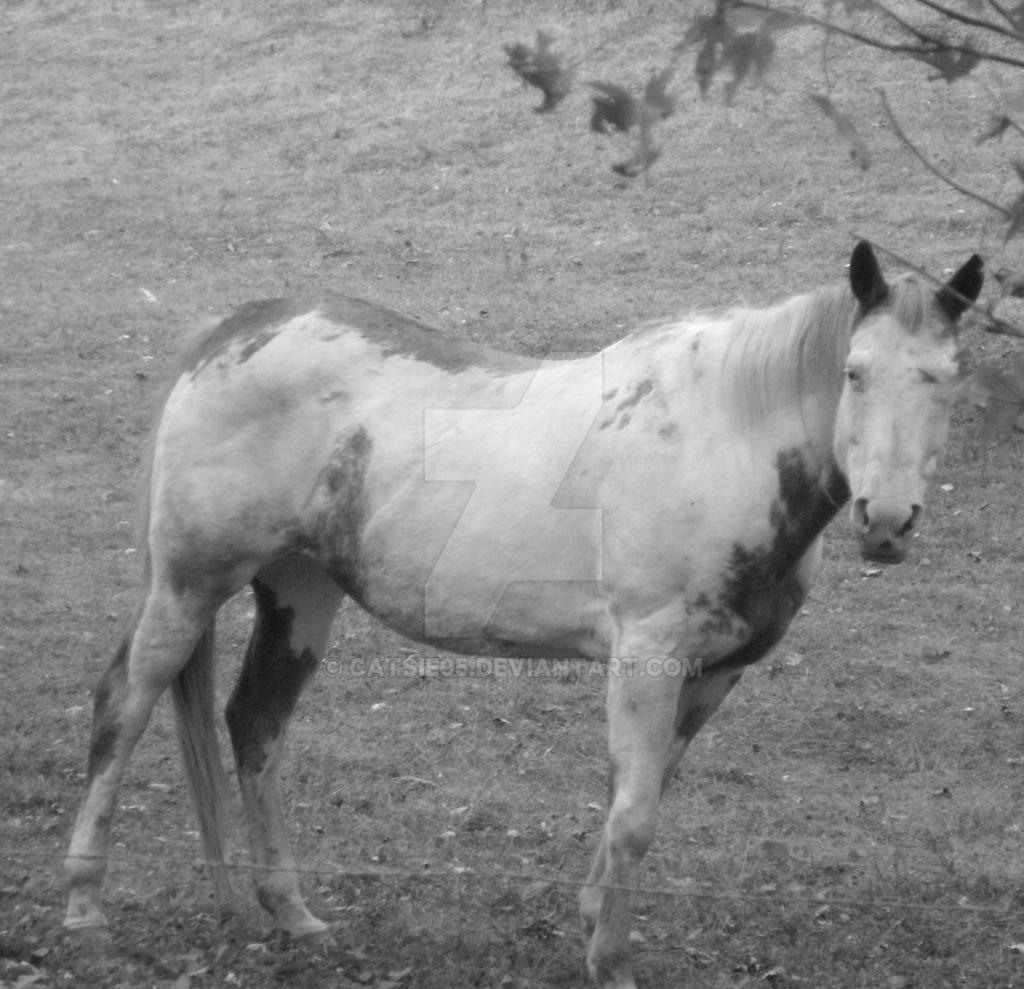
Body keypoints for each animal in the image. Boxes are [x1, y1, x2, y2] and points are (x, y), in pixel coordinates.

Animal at [64, 241, 983, 989]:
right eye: (854, 370)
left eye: (946, 378)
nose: (887, 520)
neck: (721, 440)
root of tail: (231, 331)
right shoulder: (646, 657)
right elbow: (635, 816)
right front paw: (610, 962)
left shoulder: (711, 674)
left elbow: (636, 799)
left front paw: (591, 924)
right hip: (188, 585)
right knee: (123, 706)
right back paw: (85, 909)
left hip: (300, 592)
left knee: (255, 723)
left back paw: (291, 912)